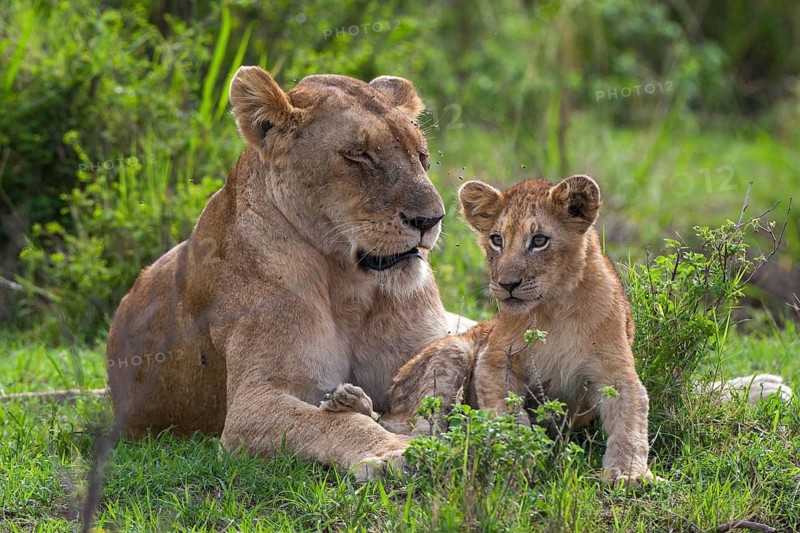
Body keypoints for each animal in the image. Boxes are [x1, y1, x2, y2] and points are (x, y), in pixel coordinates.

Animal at [105, 66, 472, 478]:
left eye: (421, 155)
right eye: (359, 155)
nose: (430, 219)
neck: (350, 284)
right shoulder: (251, 406)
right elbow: (331, 422)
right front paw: (392, 451)